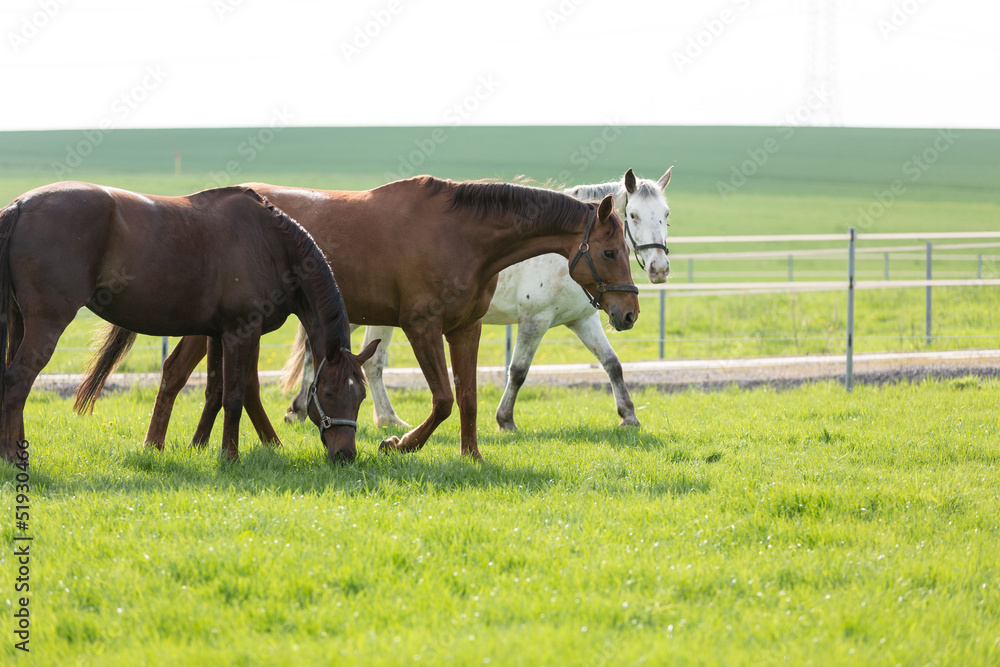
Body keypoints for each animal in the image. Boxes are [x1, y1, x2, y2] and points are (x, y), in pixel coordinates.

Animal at [0, 182, 377, 464]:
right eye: (327, 393)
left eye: (360, 396)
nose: (346, 455)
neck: (270, 243)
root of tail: (20, 205)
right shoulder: (241, 332)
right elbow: (235, 395)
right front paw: (230, 457)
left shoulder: (217, 334)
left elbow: (217, 390)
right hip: (47, 323)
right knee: (17, 382)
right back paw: (11, 456)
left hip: (20, 323)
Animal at [88, 176, 640, 460]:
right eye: (611, 251)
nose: (630, 311)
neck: (461, 234)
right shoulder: (421, 326)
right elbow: (442, 400)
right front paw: (399, 442)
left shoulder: (465, 328)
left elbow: (467, 399)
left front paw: (473, 456)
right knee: (182, 372)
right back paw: (168, 444)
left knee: (221, 380)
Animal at [291, 167, 672, 431]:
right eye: (634, 216)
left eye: (666, 215)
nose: (660, 268)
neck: (557, 254)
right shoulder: (535, 320)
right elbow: (518, 371)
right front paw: (505, 419)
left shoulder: (582, 319)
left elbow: (612, 364)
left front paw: (628, 416)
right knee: (322, 352)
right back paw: (302, 409)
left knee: (367, 362)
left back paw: (384, 419)